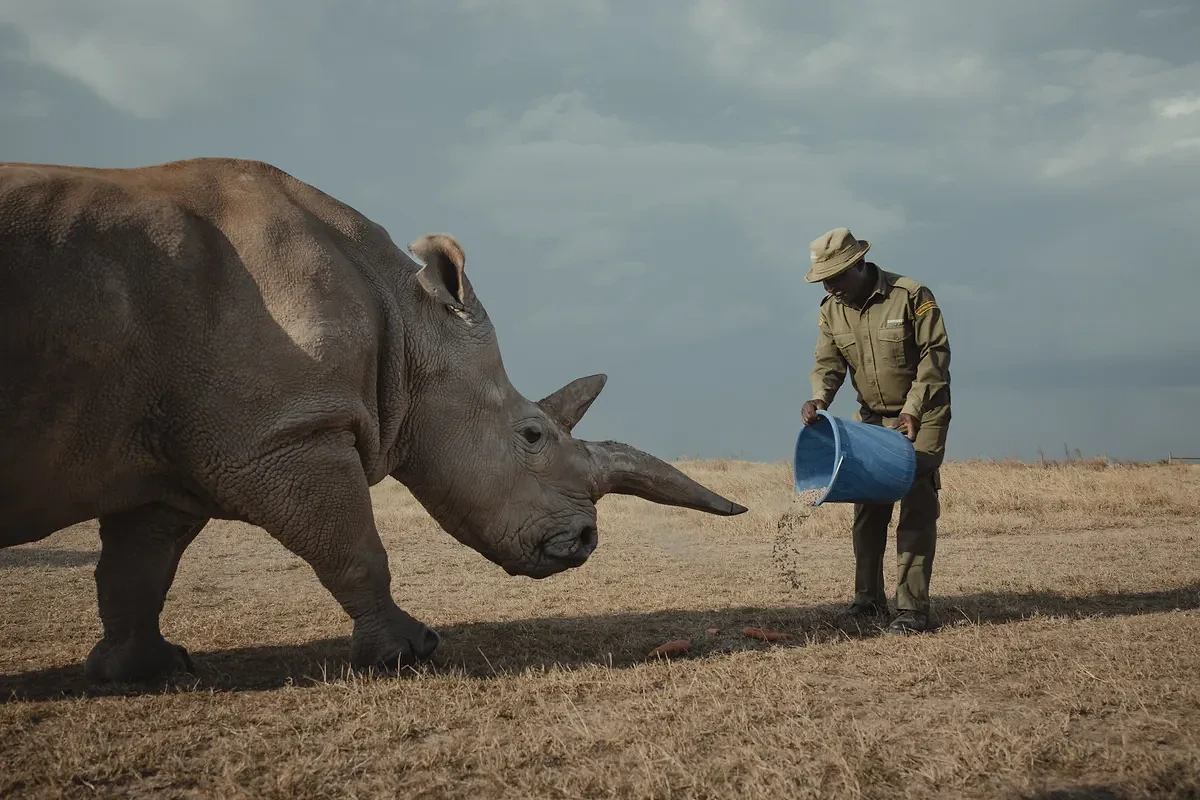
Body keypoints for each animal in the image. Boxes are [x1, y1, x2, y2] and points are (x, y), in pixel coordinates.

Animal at [0, 157, 746, 683]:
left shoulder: (177, 448)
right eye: (531, 435)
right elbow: (353, 546)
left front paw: (146, 670)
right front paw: (411, 652)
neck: (411, 328)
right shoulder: (284, 433)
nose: (585, 542)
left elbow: (139, 565)